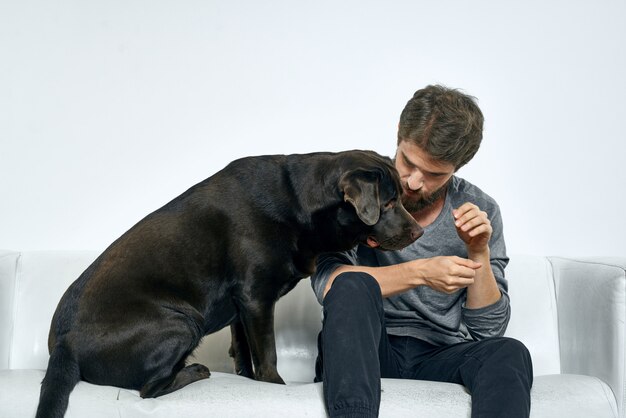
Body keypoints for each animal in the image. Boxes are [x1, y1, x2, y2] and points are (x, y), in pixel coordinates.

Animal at [36, 150, 422, 418]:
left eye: (400, 199)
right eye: (389, 202)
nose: (419, 231)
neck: (299, 202)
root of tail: (63, 347)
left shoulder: (241, 305)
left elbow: (244, 350)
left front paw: (246, 378)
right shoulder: (256, 298)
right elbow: (267, 355)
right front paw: (273, 386)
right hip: (183, 321)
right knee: (148, 390)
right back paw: (194, 371)